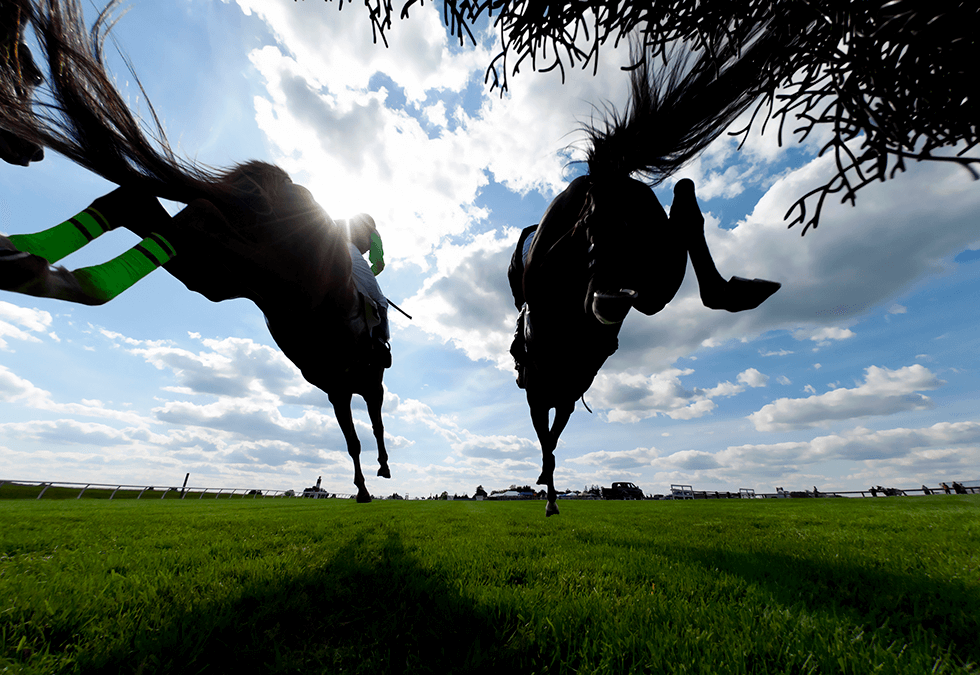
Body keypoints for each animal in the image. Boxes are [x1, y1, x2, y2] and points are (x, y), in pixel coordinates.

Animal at [0, 0, 390, 502]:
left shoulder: (340, 385)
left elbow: (358, 433)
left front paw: (369, 478)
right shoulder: (355, 384)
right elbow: (367, 431)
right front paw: (374, 476)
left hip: (220, 272)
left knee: (137, 204)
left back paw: (38, 263)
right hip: (258, 271)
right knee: (178, 218)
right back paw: (46, 268)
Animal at [509, 43, 782, 517]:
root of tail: (600, 180)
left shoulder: (549, 393)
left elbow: (549, 439)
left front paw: (548, 488)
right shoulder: (555, 391)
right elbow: (551, 439)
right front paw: (548, 486)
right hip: (647, 272)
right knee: (681, 208)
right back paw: (736, 290)